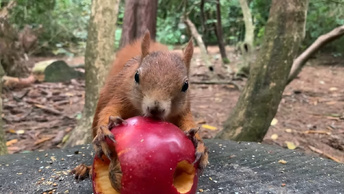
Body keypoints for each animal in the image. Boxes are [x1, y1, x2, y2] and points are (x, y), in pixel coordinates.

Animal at [72, 31, 208, 190]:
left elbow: (188, 123)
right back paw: (84, 168)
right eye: (136, 76)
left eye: (186, 85)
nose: (155, 108)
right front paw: (105, 130)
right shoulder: (121, 95)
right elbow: (109, 111)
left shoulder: (183, 110)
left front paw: (198, 143)